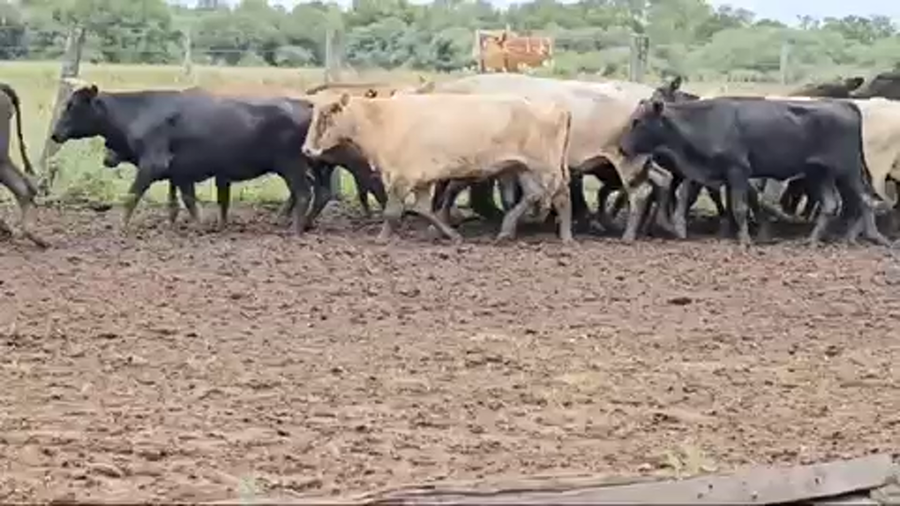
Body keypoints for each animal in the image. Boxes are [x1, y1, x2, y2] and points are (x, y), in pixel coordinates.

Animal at [50, 81, 315, 235]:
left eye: (72, 105)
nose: (54, 134)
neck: (136, 112)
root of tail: (307, 106)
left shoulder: (153, 164)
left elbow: (132, 196)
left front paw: (120, 227)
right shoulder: (181, 171)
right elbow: (186, 201)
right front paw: (198, 227)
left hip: (291, 165)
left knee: (303, 194)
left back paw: (295, 231)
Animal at [301, 92, 574, 244]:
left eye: (327, 116)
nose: (306, 150)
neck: (383, 120)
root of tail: (557, 109)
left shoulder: (402, 177)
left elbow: (392, 212)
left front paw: (381, 239)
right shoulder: (421, 180)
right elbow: (424, 209)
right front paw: (452, 235)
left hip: (546, 167)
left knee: (561, 195)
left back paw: (566, 237)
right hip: (523, 167)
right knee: (533, 195)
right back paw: (506, 231)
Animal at [618, 96, 890, 247]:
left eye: (637, 121)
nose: (621, 147)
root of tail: (846, 104)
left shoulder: (738, 170)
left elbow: (739, 207)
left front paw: (745, 241)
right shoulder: (728, 176)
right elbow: (735, 206)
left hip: (847, 170)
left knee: (865, 199)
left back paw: (863, 238)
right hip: (819, 173)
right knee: (832, 204)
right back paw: (813, 241)